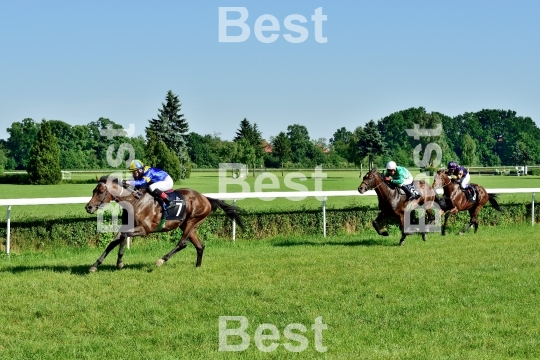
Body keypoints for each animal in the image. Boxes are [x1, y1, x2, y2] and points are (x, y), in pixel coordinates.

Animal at [85, 176, 246, 272]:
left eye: (101, 191)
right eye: (93, 190)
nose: (88, 207)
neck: (134, 201)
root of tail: (206, 198)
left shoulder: (145, 229)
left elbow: (124, 236)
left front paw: (119, 262)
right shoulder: (127, 226)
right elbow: (112, 242)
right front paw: (94, 265)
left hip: (193, 220)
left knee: (183, 243)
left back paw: (161, 260)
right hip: (187, 224)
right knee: (200, 246)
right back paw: (197, 266)